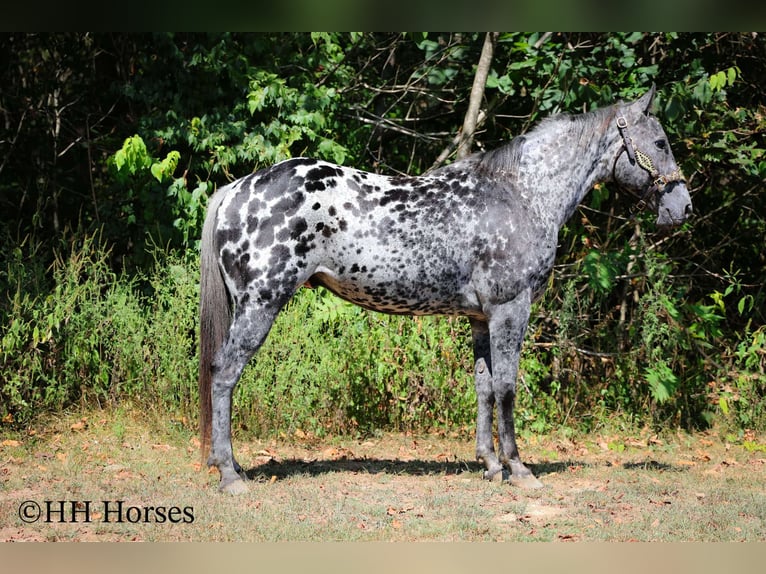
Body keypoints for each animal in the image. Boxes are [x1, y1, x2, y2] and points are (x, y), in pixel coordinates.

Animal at [198, 84, 693, 493]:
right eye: (661, 143)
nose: (683, 207)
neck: (523, 193)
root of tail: (236, 189)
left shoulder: (480, 317)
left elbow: (484, 386)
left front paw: (490, 465)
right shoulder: (511, 309)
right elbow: (508, 387)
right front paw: (519, 469)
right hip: (260, 305)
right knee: (223, 375)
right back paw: (230, 475)